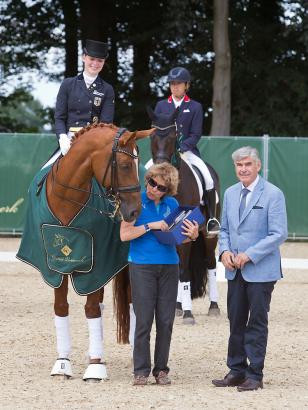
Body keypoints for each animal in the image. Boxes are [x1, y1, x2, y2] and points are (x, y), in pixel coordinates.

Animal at [17, 121, 153, 382]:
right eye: (124, 165)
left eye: (137, 165)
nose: (134, 213)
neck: (67, 198)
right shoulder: (55, 266)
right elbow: (61, 308)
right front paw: (62, 364)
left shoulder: (95, 266)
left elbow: (90, 309)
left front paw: (95, 368)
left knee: (132, 303)